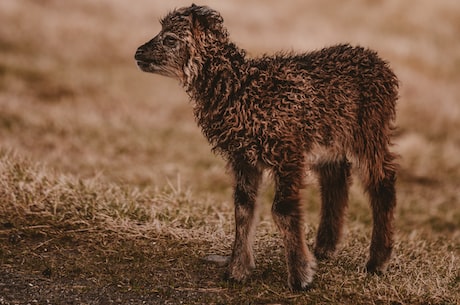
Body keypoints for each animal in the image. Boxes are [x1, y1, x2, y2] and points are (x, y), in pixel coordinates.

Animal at [134, 4, 398, 290]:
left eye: (170, 39)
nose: (138, 53)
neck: (240, 90)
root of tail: (378, 62)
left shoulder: (287, 152)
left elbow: (282, 210)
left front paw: (300, 277)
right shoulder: (243, 157)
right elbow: (243, 207)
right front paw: (237, 270)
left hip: (370, 132)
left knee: (381, 182)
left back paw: (377, 262)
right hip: (330, 140)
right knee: (336, 178)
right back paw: (325, 248)